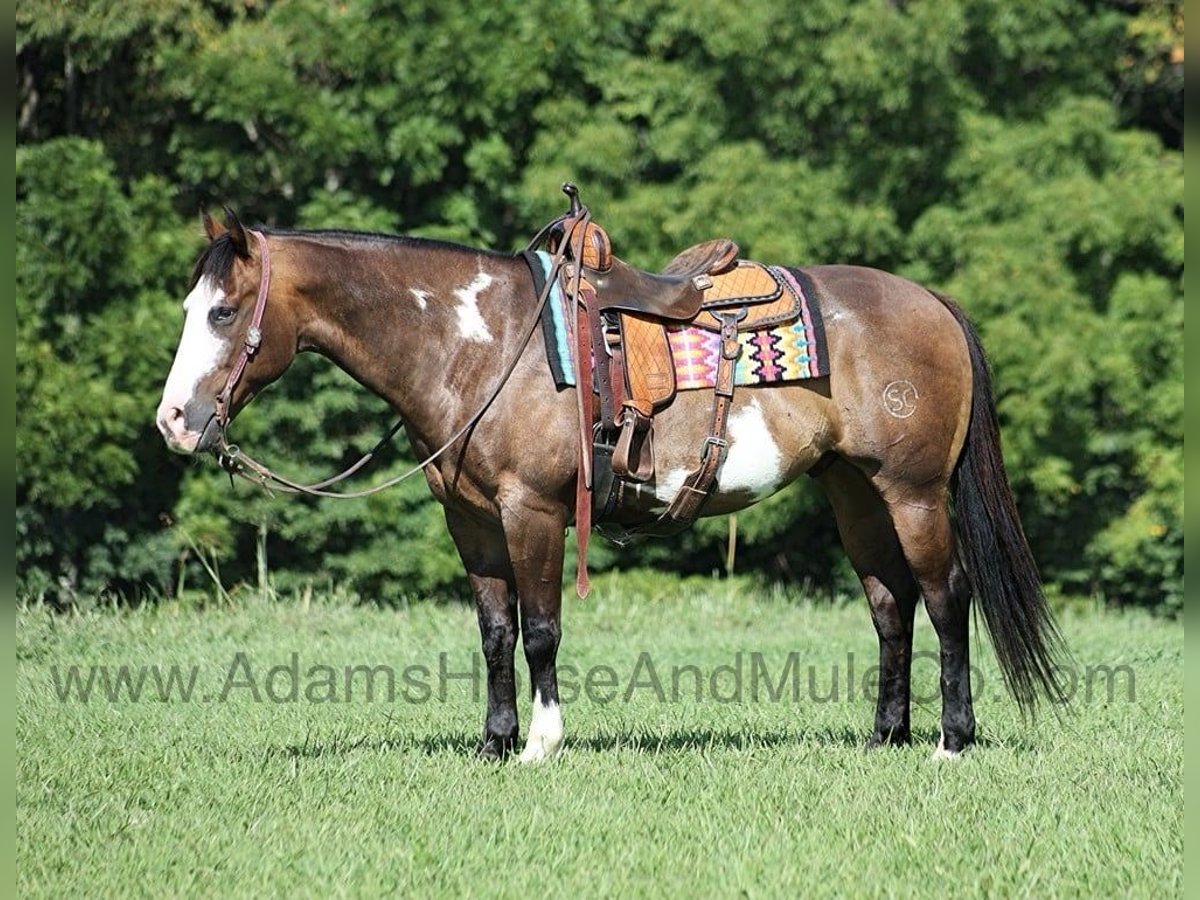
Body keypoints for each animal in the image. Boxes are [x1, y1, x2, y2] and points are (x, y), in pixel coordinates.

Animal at [155, 203, 1067, 762]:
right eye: (192, 309)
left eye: (224, 313)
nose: (173, 421)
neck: (484, 345)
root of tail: (933, 303)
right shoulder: (471, 522)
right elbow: (494, 633)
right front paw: (492, 743)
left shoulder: (530, 511)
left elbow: (541, 632)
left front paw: (541, 744)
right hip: (854, 492)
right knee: (890, 606)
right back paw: (886, 737)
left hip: (913, 492)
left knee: (946, 598)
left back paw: (952, 740)